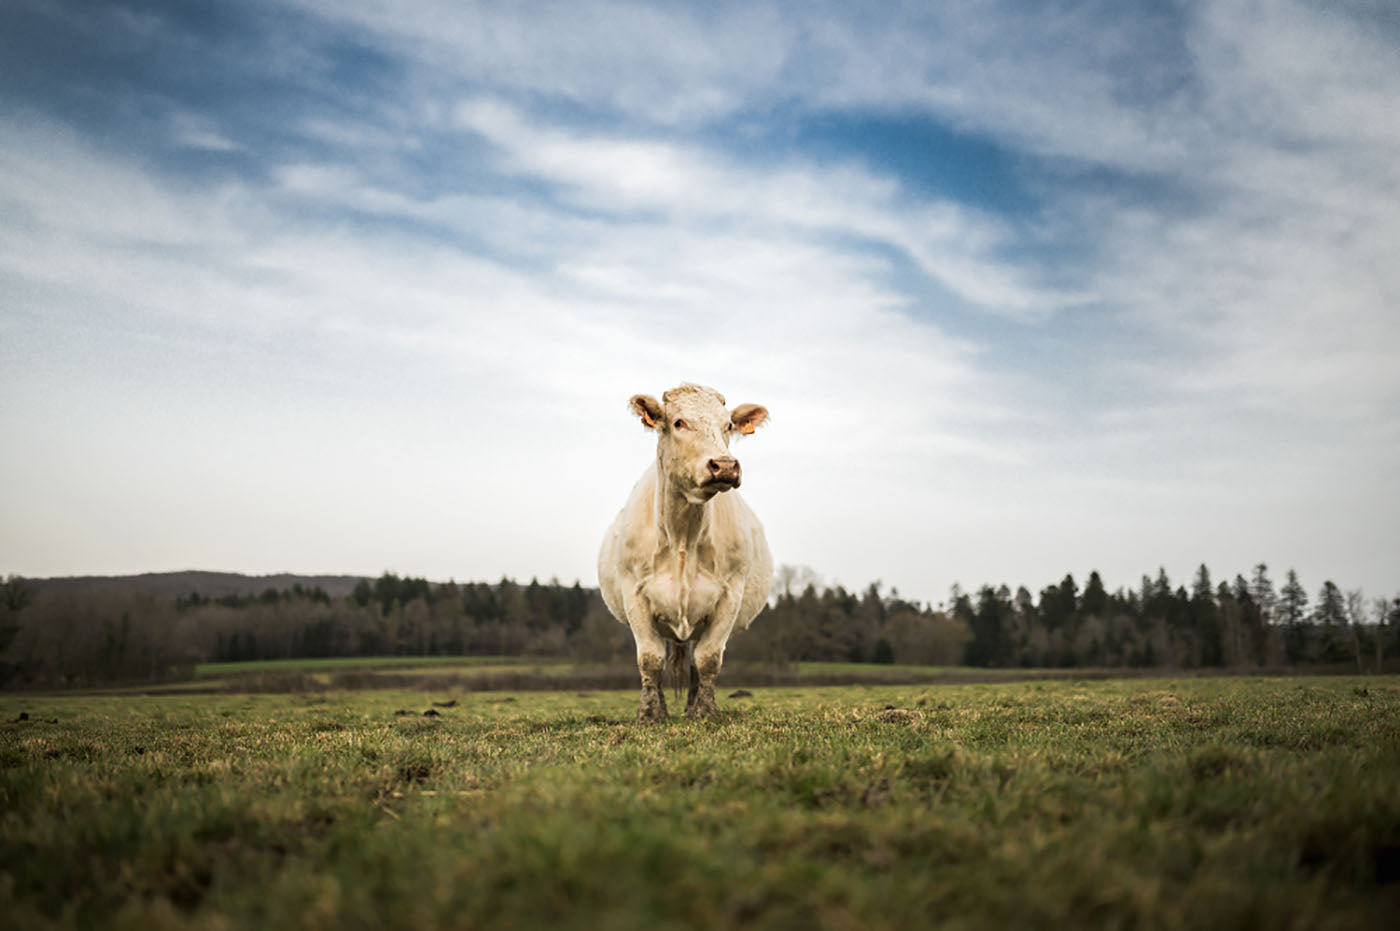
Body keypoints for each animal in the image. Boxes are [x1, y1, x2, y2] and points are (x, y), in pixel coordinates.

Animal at [599, 380, 778, 722]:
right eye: (679, 422)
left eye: (728, 425)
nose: (725, 465)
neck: (683, 535)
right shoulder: (635, 593)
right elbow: (650, 659)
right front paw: (650, 714)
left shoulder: (730, 594)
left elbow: (708, 660)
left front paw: (705, 711)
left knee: (694, 661)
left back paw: (692, 705)